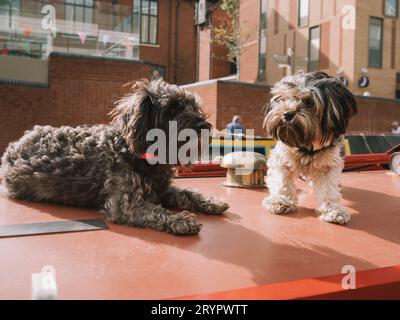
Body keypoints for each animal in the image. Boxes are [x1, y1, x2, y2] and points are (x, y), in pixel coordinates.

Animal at [0, 79, 230, 235]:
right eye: (174, 107)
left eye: (194, 107)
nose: (205, 126)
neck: (140, 154)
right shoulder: (125, 204)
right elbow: (156, 212)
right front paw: (181, 221)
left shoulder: (163, 190)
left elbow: (187, 193)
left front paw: (210, 201)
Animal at [264, 71, 358, 224]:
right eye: (282, 99)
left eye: (310, 102)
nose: (287, 113)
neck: (306, 145)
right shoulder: (281, 158)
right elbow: (282, 181)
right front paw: (280, 201)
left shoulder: (329, 165)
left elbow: (329, 189)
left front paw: (333, 211)